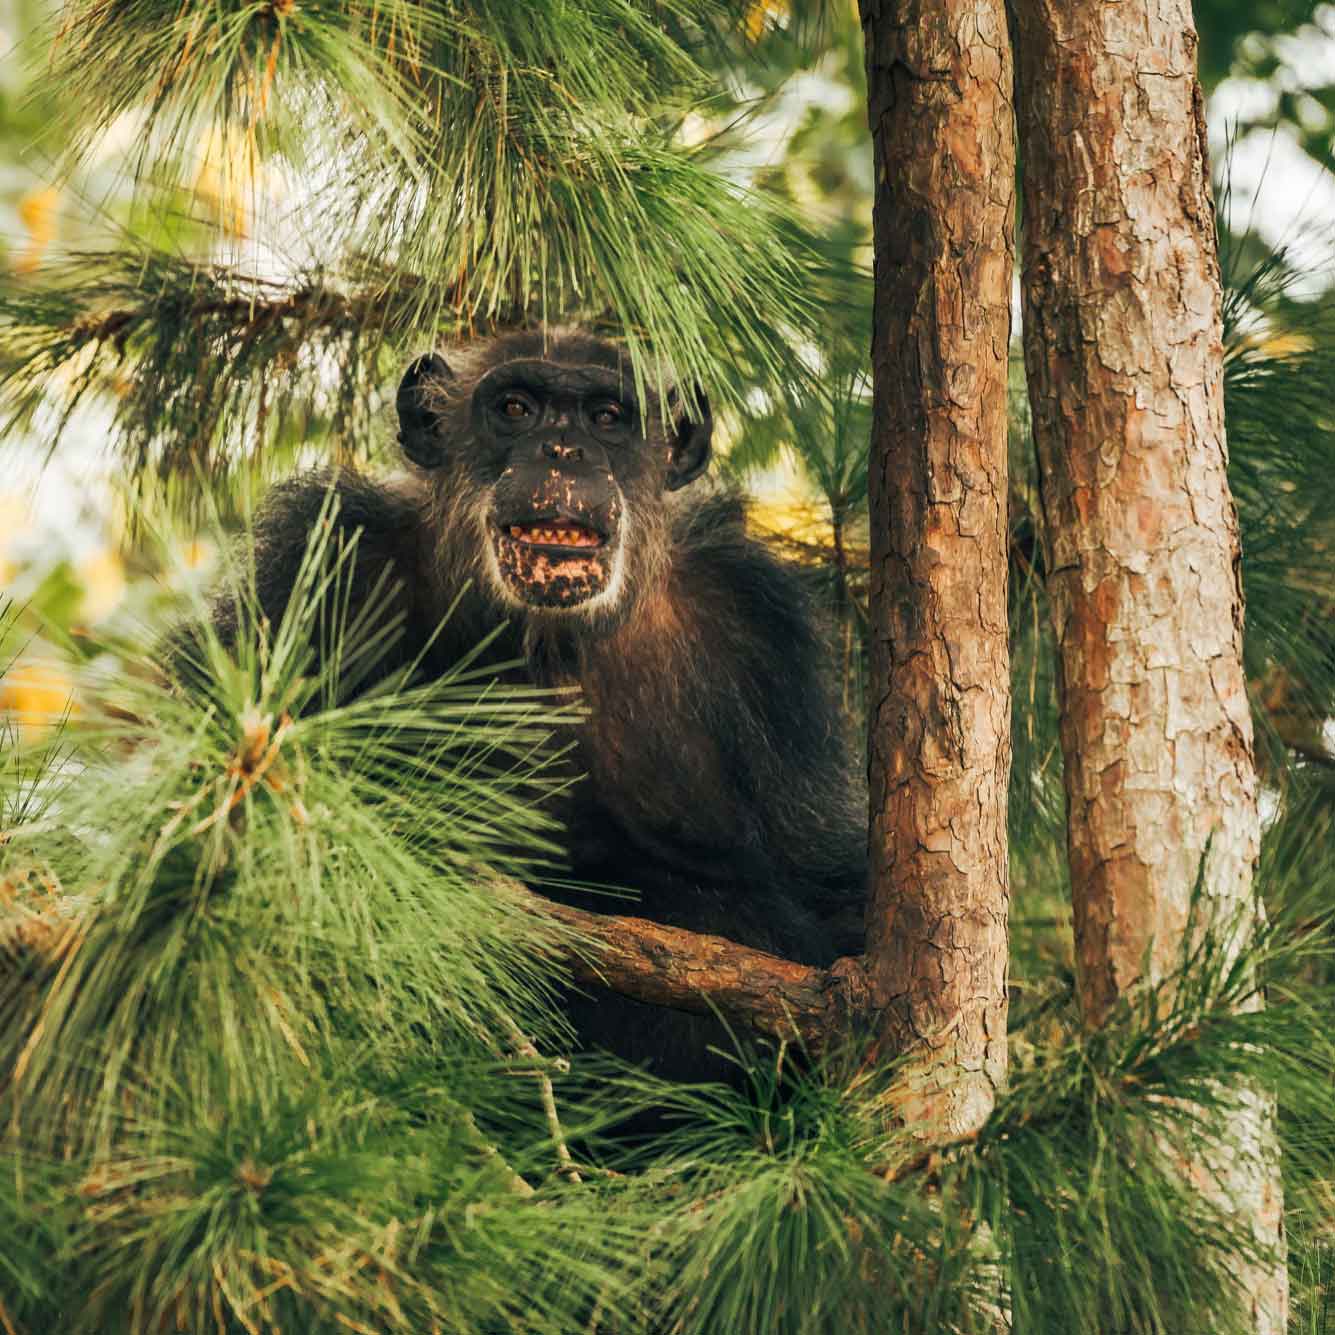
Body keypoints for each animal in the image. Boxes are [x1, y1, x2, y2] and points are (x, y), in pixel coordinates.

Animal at [218, 328, 865, 1078]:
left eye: (607, 417)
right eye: (516, 408)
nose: (561, 450)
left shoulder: (760, 630)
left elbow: (819, 870)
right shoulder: (324, 561)